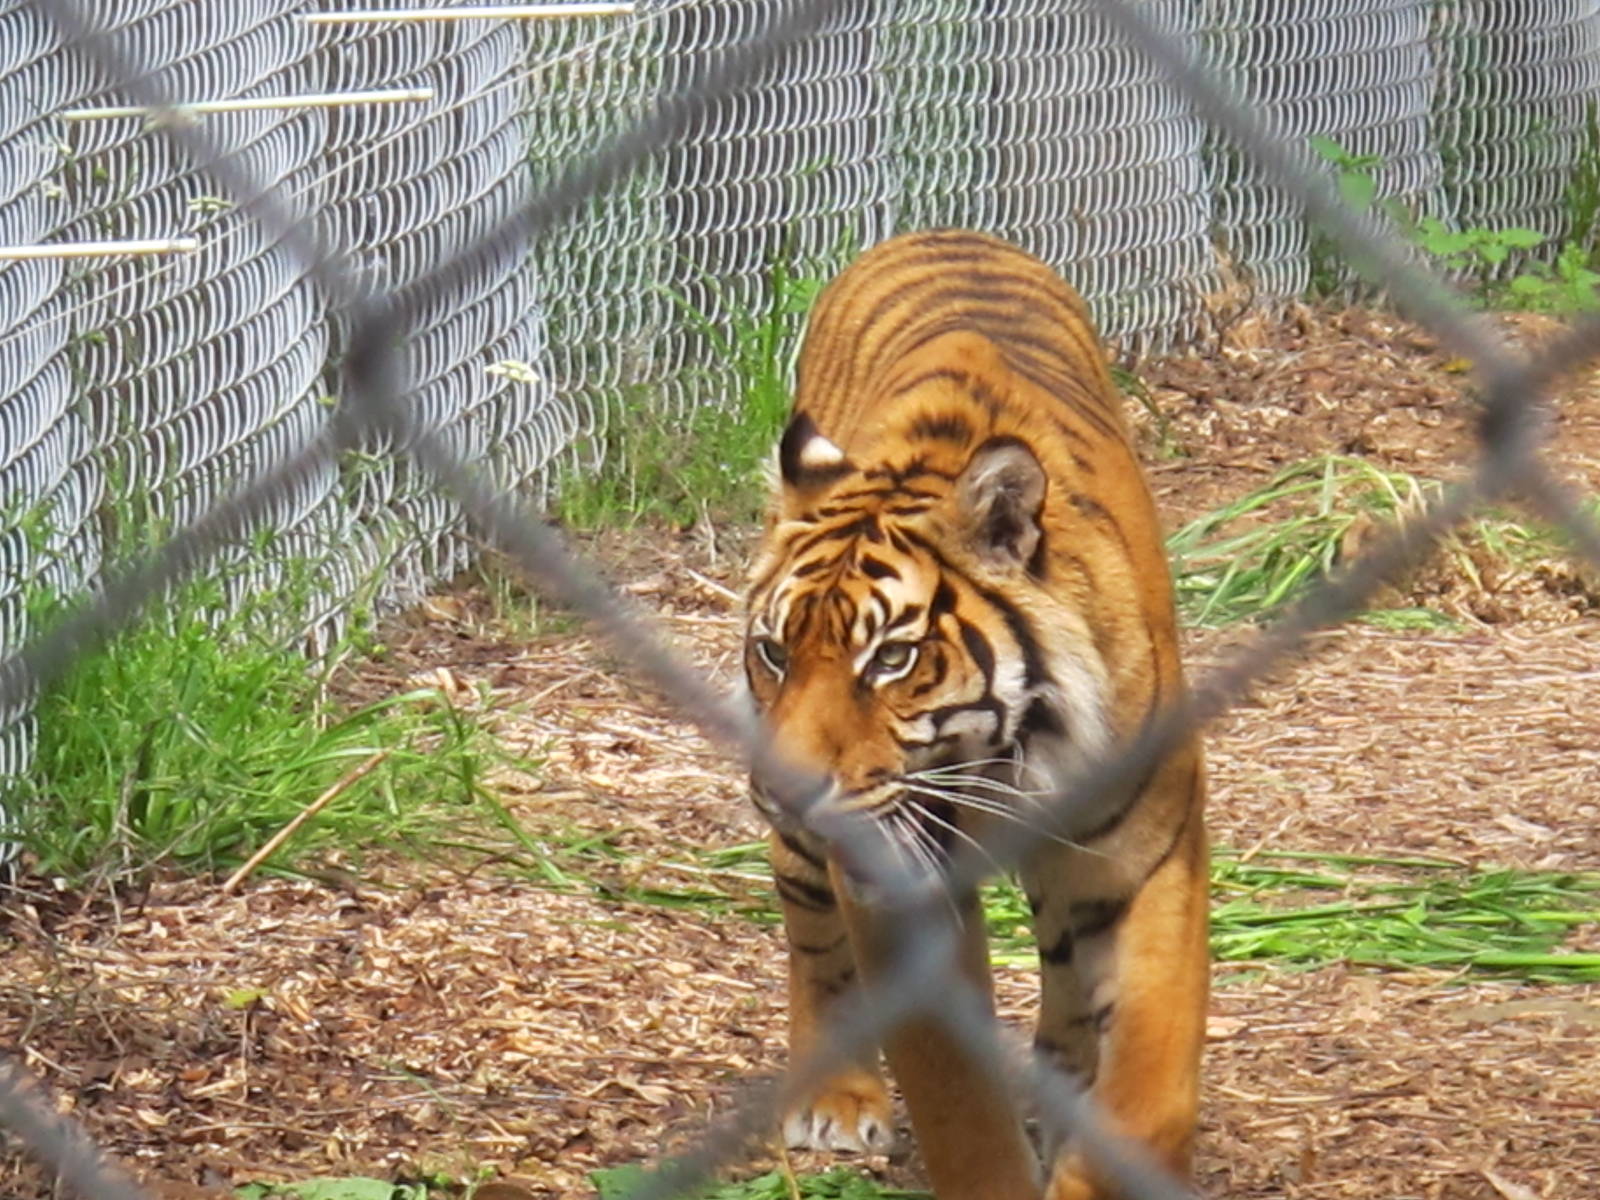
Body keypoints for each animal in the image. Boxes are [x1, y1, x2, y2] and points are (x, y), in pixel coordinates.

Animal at [741, 230, 1209, 1200]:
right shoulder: (893, 881)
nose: (785, 788)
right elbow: (956, 1096)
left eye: (891, 659)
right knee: (808, 925)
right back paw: (834, 1098)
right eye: (773, 653)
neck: (1010, 750)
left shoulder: (1154, 848)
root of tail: (941, 232)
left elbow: (1151, 1083)